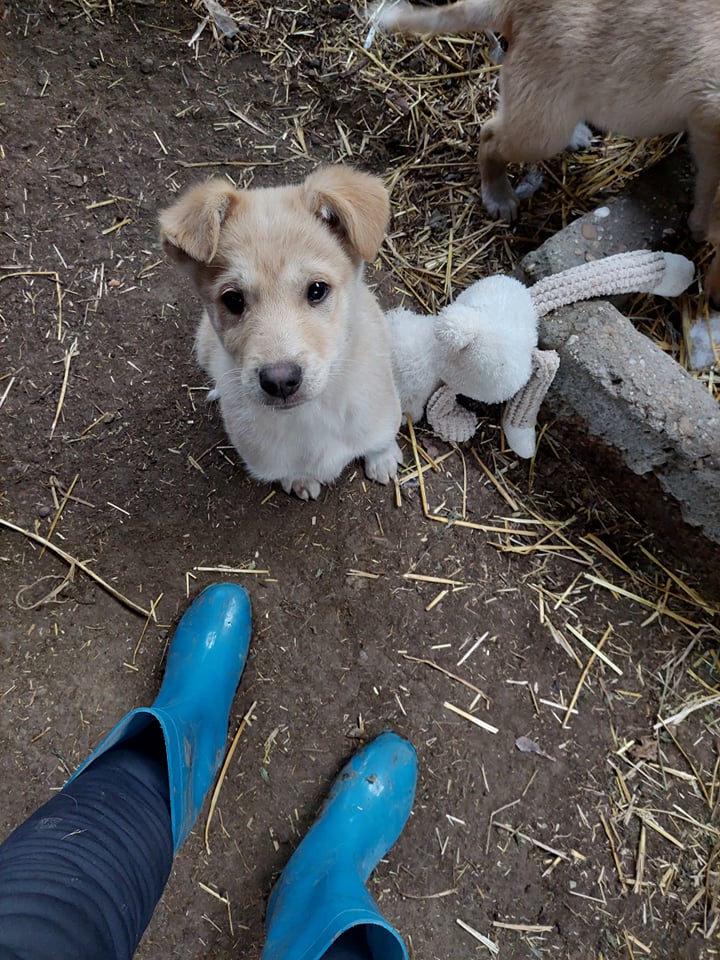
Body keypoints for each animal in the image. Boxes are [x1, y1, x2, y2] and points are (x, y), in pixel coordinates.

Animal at [159, 166, 404, 498]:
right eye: (233, 300)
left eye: (317, 289)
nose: (280, 381)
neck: (312, 413)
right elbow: (291, 470)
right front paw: (300, 481)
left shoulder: (383, 409)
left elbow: (381, 437)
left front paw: (384, 459)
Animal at [372, 0, 720, 304]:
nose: (713, 303)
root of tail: (511, 5)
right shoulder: (706, 112)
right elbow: (709, 184)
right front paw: (701, 224)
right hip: (541, 124)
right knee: (490, 136)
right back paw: (499, 196)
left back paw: (577, 134)